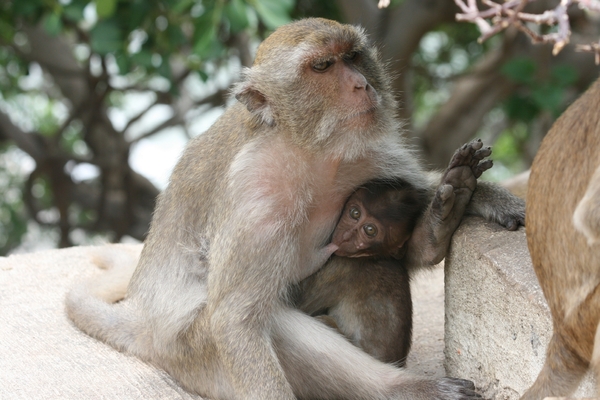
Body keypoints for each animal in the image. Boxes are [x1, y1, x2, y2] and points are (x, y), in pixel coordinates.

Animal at [63, 18, 520, 400]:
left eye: (353, 56)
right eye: (322, 66)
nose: (361, 85)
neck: (310, 151)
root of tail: (147, 330)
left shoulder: (368, 157)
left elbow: (401, 243)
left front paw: (468, 199)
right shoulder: (256, 196)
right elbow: (235, 321)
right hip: (196, 357)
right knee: (271, 322)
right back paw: (403, 389)